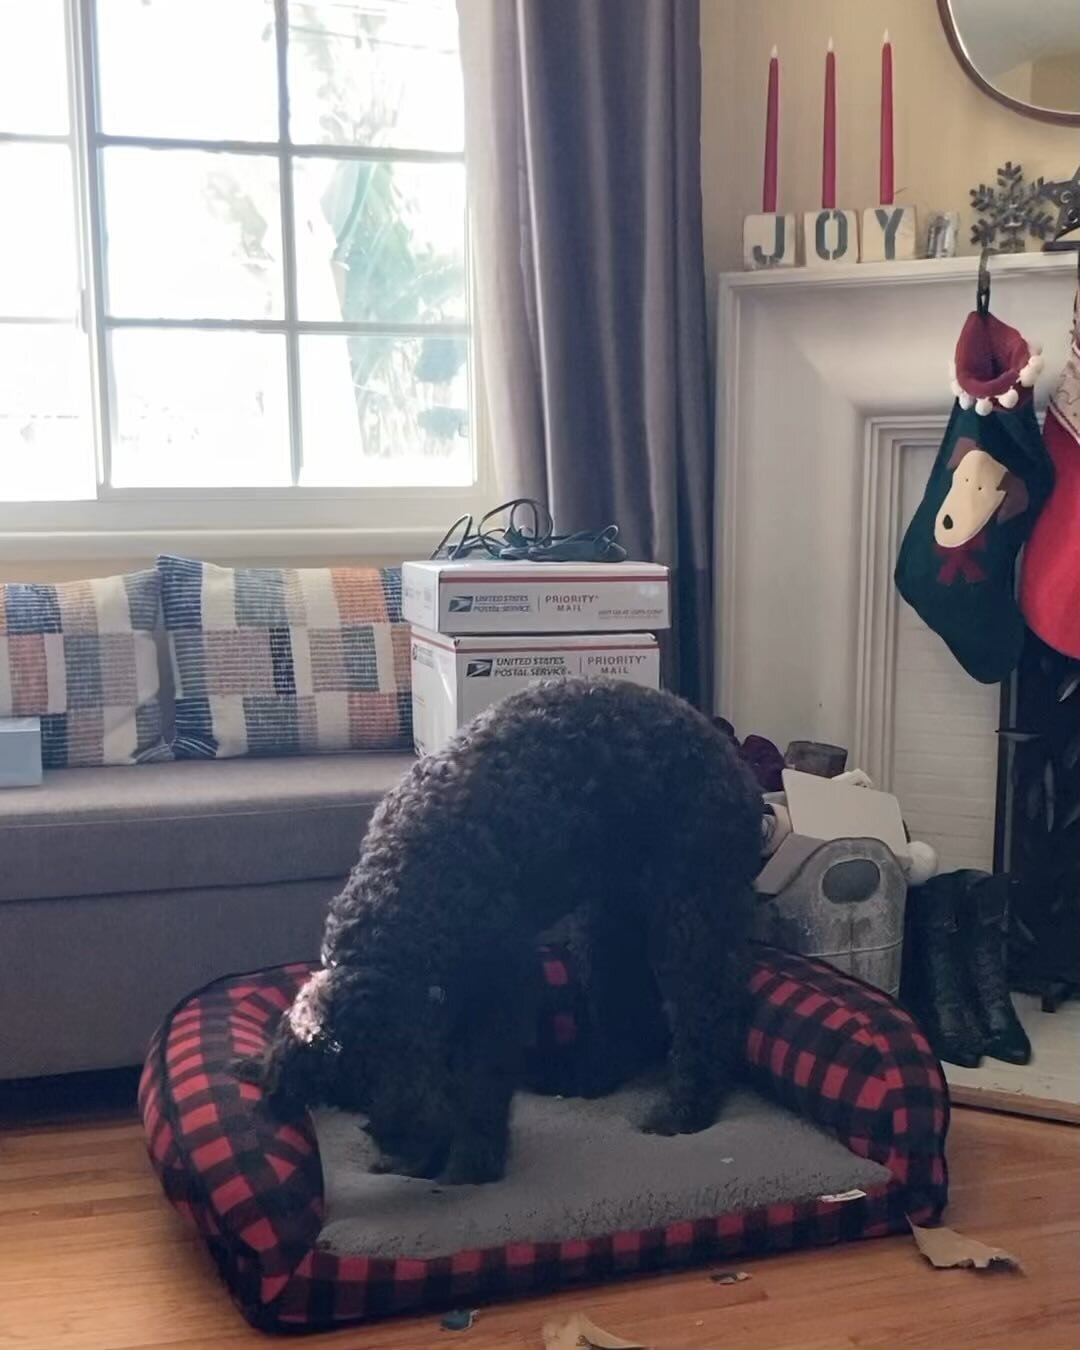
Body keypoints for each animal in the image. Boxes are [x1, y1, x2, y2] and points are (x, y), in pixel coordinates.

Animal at [248, 675, 761, 1182]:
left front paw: (475, 1158)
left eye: (394, 1088)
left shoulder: (501, 990)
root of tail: (729, 754)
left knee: (709, 1012)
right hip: (607, 925)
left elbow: (483, 1079)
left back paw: (686, 1107)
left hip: (685, 915)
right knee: (629, 1016)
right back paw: (589, 1075)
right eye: (354, 1103)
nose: (408, 1155)